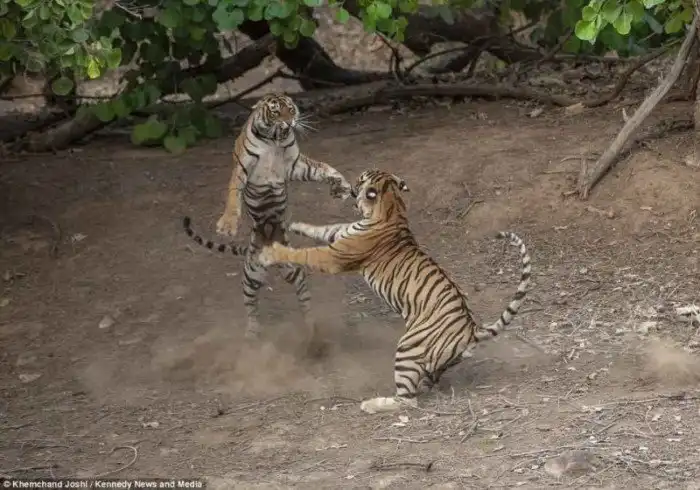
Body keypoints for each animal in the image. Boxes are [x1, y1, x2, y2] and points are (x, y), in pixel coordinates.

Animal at [182, 93, 352, 345]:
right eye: (275, 112)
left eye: (291, 109)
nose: (290, 123)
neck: (275, 139)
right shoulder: (242, 168)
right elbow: (232, 196)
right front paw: (228, 225)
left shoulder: (296, 164)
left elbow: (322, 167)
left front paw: (341, 186)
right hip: (250, 277)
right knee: (251, 307)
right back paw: (252, 334)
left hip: (294, 271)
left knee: (304, 301)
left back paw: (312, 330)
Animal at [255, 169, 532, 414]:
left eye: (362, 178)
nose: (352, 185)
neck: (392, 206)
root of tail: (472, 330)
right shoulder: (341, 233)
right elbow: (321, 228)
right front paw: (294, 224)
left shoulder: (334, 256)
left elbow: (305, 253)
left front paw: (270, 253)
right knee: (426, 384)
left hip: (407, 348)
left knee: (408, 400)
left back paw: (371, 404)